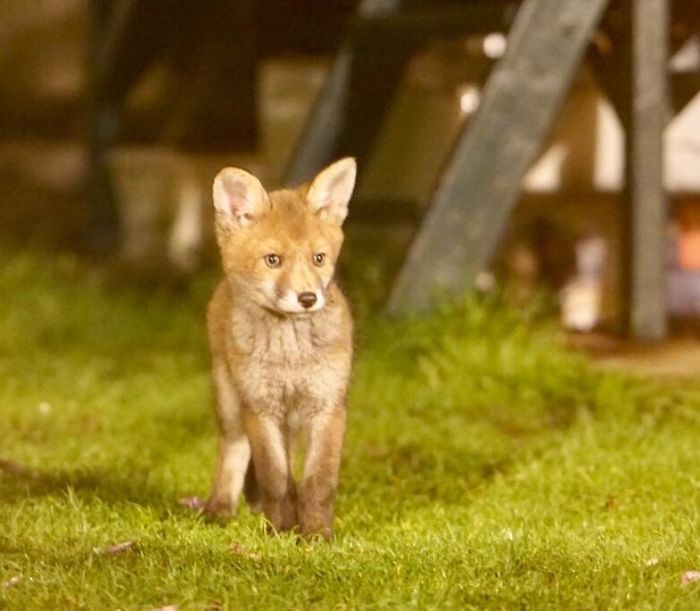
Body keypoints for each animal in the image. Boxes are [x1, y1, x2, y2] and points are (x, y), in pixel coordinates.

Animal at [204, 158, 356, 539]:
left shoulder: (327, 406)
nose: (308, 298)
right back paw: (219, 509)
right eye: (272, 260)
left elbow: (318, 482)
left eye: (319, 258)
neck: (290, 358)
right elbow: (275, 478)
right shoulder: (260, 409)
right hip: (231, 405)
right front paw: (282, 532)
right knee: (233, 450)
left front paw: (317, 535)